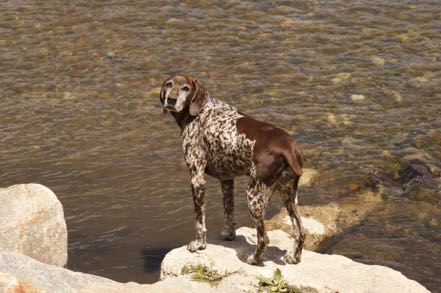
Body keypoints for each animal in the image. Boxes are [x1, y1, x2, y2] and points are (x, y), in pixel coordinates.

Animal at [160, 73, 304, 264]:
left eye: (186, 88)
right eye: (169, 85)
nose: (171, 99)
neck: (200, 112)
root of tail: (287, 146)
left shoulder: (197, 179)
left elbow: (199, 221)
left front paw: (199, 244)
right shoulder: (226, 179)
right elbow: (229, 212)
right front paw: (229, 235)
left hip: (254, 196)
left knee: (263, 238)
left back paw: (252, 259)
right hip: (288, 195)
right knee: (300, 231)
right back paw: (293, 257)